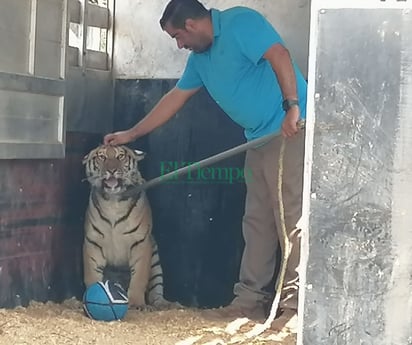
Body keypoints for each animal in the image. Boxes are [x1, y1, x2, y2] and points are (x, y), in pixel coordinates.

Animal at [82, 144, 171, 308]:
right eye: (102, 157)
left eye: (120, 156)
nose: (111, 170)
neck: (113, 201)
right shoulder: (93, 243)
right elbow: (91, 275)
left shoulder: (141, 243)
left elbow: (139, 277)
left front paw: (136, 304)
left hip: (155, 260)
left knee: (156, 290)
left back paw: (163, 304)